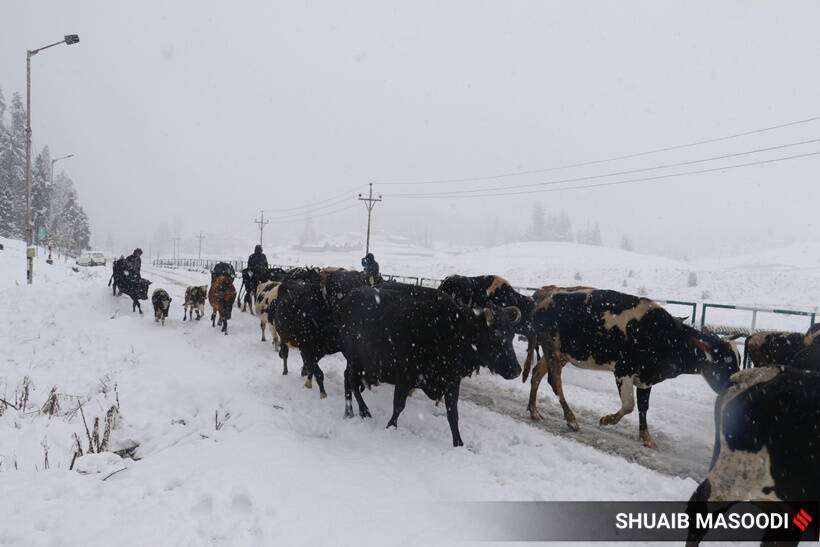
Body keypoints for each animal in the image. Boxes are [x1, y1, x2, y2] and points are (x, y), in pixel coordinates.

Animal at [336, 284, 524, 448]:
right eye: (495, 335)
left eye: (511, 335)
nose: (516, 370)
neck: (452, 332)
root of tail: (346, 298)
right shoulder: (405, 377)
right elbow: (398, 406)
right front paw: (390, 427)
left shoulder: (452, 382)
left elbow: (453, 414)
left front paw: (458, 443)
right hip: (355, 360)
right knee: (350, 380)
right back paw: (359, 411)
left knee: (348, 379)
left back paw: (353, 412)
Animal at [524, 288, 744, 448]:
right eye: (724, 363)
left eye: (739, 360)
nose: (736, 385)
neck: (665, 336)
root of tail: (544, 298)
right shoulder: (623, 371)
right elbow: (629, 405)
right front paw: (607, 420)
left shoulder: (646, 378)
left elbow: (643, 407)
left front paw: (646, 437)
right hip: (552, 349)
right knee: (554, 381)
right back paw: (571, 419)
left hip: (560, 354)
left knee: (536, 374)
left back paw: (534, 410)